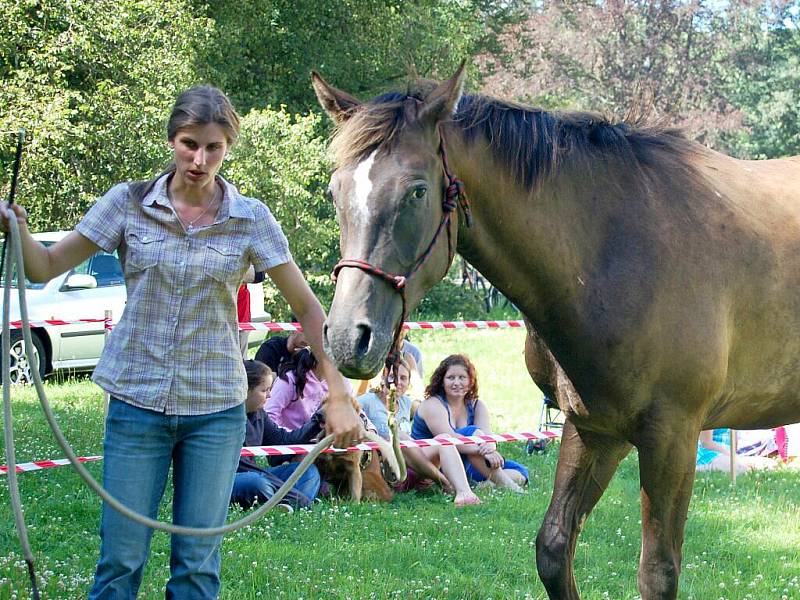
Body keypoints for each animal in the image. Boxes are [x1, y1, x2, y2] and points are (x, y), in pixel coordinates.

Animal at [310, 63, 800, 596]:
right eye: (336, 190)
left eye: (417, 190)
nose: (347, 338)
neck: (615, 251)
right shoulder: (594, 428)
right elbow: (553, 548)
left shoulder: (671, 436)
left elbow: (658, 572)